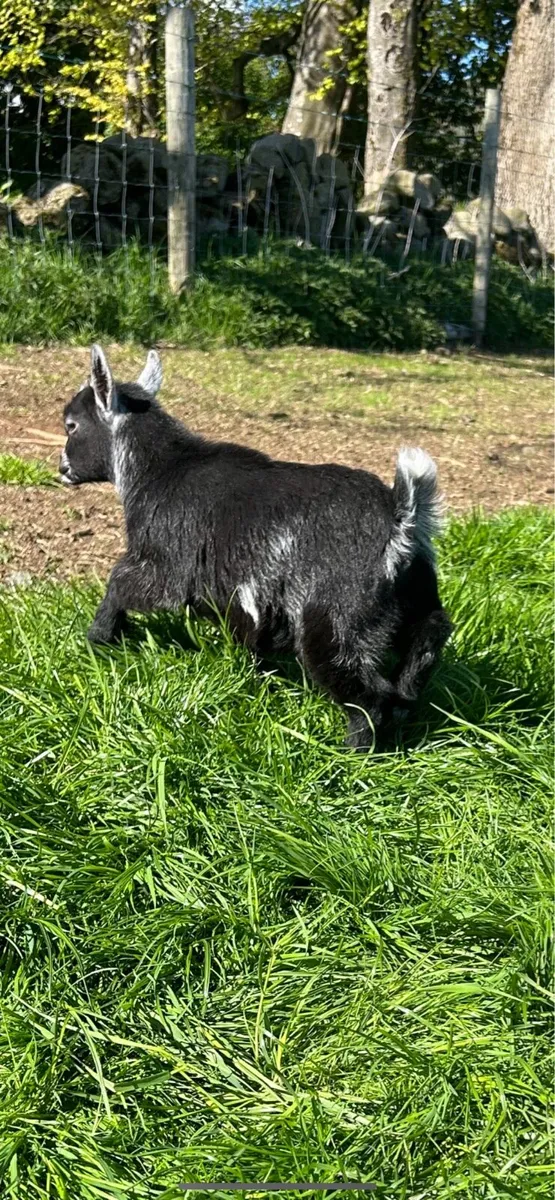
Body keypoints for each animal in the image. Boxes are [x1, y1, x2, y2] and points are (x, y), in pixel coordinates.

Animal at [60, 344, 452, 749]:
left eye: (71, 425)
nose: (63, 470)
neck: (161, 470)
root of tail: (400, 519)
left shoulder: (164, 568)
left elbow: (119, 582)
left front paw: (99, 638)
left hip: (334, 622)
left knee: (368, 696)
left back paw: (350, 754)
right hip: (416, 602)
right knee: (425, 645)